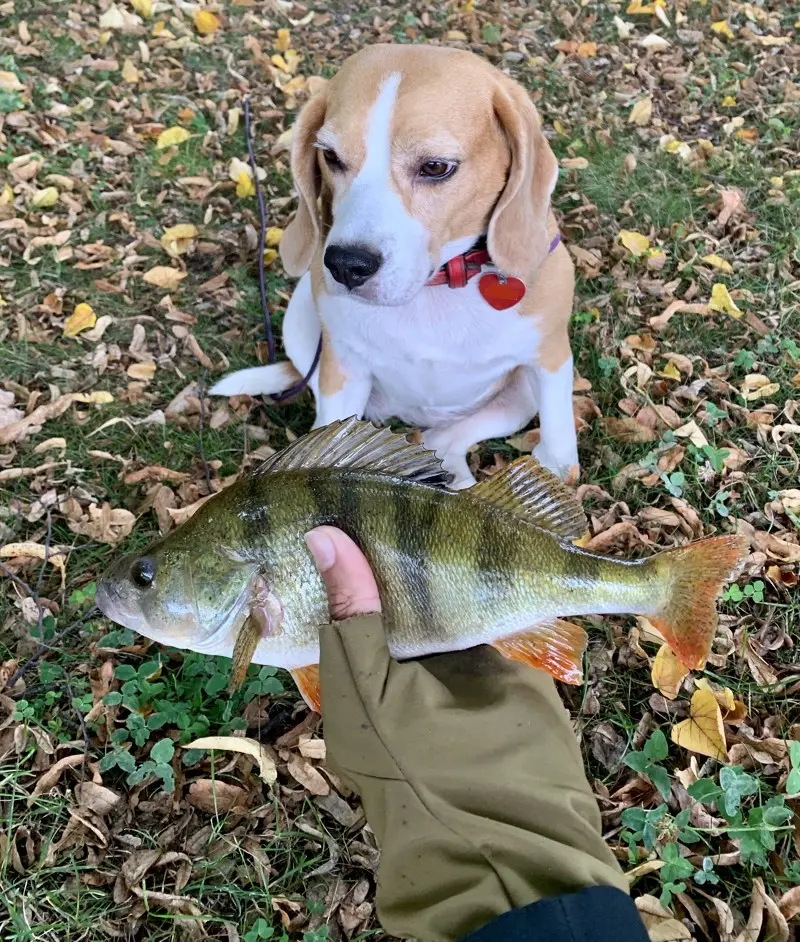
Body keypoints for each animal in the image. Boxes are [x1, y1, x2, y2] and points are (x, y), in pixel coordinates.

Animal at [211, 43, 576, 486]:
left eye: (435, 167)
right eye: (330, 156)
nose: (345, 265)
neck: (436, 290)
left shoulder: (551, 358)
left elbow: (559, 454)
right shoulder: (343, 372)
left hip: (520, 395)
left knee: (442, 441)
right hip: (302, 318)